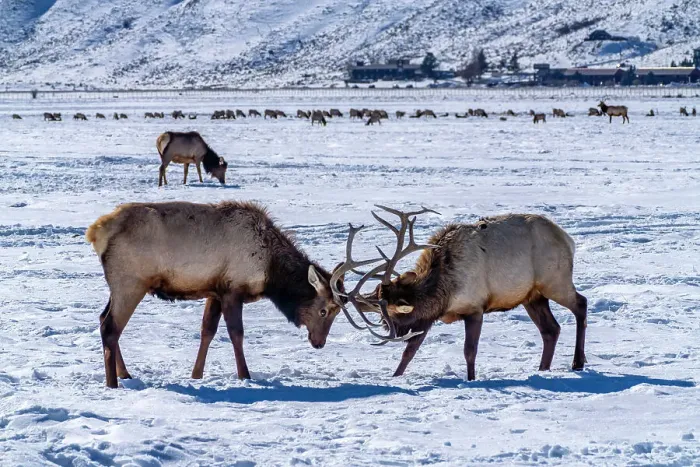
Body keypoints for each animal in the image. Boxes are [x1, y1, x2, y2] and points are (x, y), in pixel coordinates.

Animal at [86, 201, 347, 388]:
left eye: (338, 313)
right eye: (324, 310)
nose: (319, 343)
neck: (270, 272)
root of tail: (96, 231)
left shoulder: (215, 291)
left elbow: (207, 331)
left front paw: (196, 374)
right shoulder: (233, 289)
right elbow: (236, 334)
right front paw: (245, 376)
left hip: (120, 286)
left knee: (103, 319)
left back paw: (125, 374)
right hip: (130, 282)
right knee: (110, 327)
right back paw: (112, 384)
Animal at [330, 206, 587, 381]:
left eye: (389, 311)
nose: (388, 329)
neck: (444, 290)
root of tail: (569, 240)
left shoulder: (475, 308)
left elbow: (469, 351)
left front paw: (471, 379)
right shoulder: (427, 318)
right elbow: (409, 353)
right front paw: (395, 377)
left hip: (555, 281)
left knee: (581, 304)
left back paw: (577, 362)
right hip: (531, 296)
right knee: (551, 329)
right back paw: (543, 368)